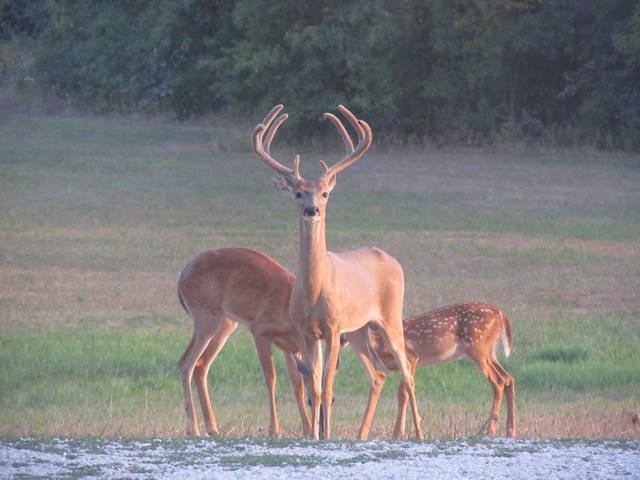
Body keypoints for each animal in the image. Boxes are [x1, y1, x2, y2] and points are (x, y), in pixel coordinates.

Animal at [177, 247, 312, 438]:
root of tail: (182, 275)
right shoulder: (260, 333)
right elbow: (270, 377)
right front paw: (274, 430)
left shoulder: (291, 347)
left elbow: (297, 383)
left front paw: (307, 428)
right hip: (206, 320)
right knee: (186, 362)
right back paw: (193, 429)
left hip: (225, 325)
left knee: (201, 365)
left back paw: (213, 427)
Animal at [252, 104, 422, 440]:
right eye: (298, 193)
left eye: (325, 193)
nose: (312, 210)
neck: (316, 290)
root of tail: (390, 258)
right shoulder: (306, 332)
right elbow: (315, 388)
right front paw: (316, 435)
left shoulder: (332, 329)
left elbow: (328, 386)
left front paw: (326, 435)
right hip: (359, 329)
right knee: (379, 372)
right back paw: (362, 434)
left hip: (390, 315)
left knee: (407, 372)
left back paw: (420, 434)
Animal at [343, 302, 516, 439]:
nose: (342, 339)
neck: (378, 341)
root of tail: (501, 314)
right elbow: (401, 394)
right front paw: (399, 434)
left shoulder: (411, 357)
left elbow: (403, 393)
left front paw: (398, 434)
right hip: (489, 352)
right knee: (509, 378)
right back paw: (510, 431)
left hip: (477, 347)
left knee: (498, 380)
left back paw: (490, 431)